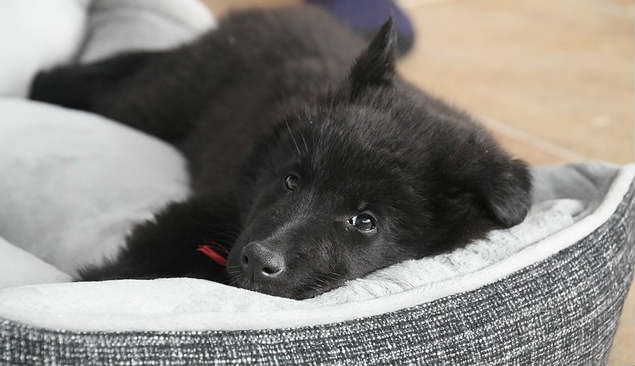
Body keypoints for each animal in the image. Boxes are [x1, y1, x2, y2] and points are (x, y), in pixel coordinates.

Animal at [32, 5, 536, 298]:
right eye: (291, 180)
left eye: (365, 222)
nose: (259, 260)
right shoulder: (212, 206)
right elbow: (146, 255)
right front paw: (87, 285)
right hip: (158, 102)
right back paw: (45, 85)